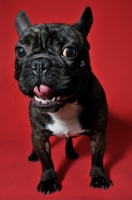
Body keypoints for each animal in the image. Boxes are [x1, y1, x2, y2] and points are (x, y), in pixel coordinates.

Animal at [14, 7, 112, 195]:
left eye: (70, 51)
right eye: (20, 51)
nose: (39, 63)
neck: (64, 107)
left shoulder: (99, 134)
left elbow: (97, 158)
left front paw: (99, 176)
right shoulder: (39, 135)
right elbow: (46, 161)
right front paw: (48, 180)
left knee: (68, 138)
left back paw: (70, 152)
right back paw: (33, 155)